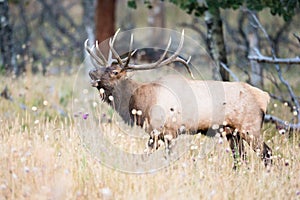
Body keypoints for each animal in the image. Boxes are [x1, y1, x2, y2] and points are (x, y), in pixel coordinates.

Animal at [84, 29, 272, 166]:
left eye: (115, 72)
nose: (91, 72)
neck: (142, 103)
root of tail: (264, 96)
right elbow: (144, 156)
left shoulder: (168, 131)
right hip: (233, 133)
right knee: (241, 158)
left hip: (251, 128)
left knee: (266, 153)